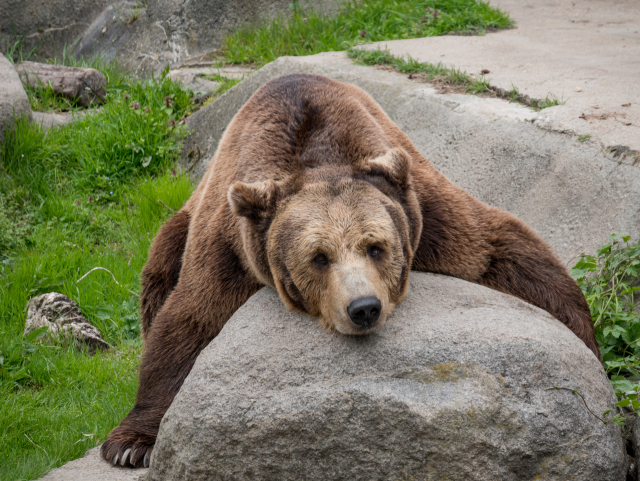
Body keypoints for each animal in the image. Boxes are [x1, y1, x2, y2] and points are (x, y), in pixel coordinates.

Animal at [101, 73, 600, 466]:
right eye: (319, 256)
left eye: (376, 247)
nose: (363, 308)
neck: (314, 153)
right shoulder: (232, 246)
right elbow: (189, 321)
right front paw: (132, 442)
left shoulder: (421, 212)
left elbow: (501, 250)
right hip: (182, 224)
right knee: (159, 272)